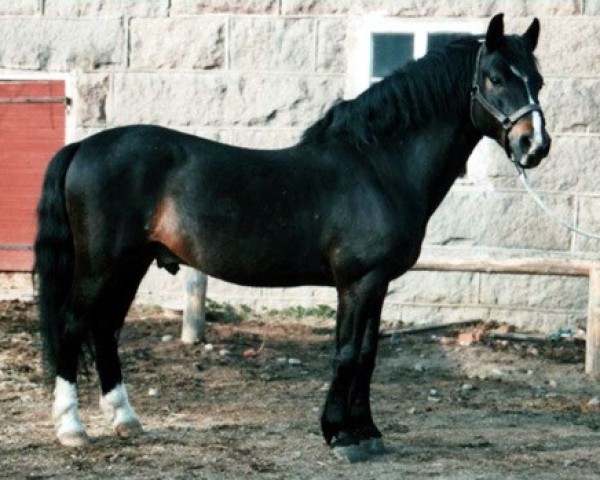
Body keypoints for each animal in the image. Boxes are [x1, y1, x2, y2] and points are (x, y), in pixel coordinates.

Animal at [34, 13, 548, 460]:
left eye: (538, 81)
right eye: (496, 78)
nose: (535, 145)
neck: (377, 167)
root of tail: (83, 146)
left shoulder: (378, 283)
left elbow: (368, 354)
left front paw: (367, 431)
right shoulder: (357, 282)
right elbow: (347, 353)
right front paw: (340, 436)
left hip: (131, 263)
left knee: (105, 328)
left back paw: (125, 419)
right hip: (101, 266)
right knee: (72, 325)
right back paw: (72, 428)